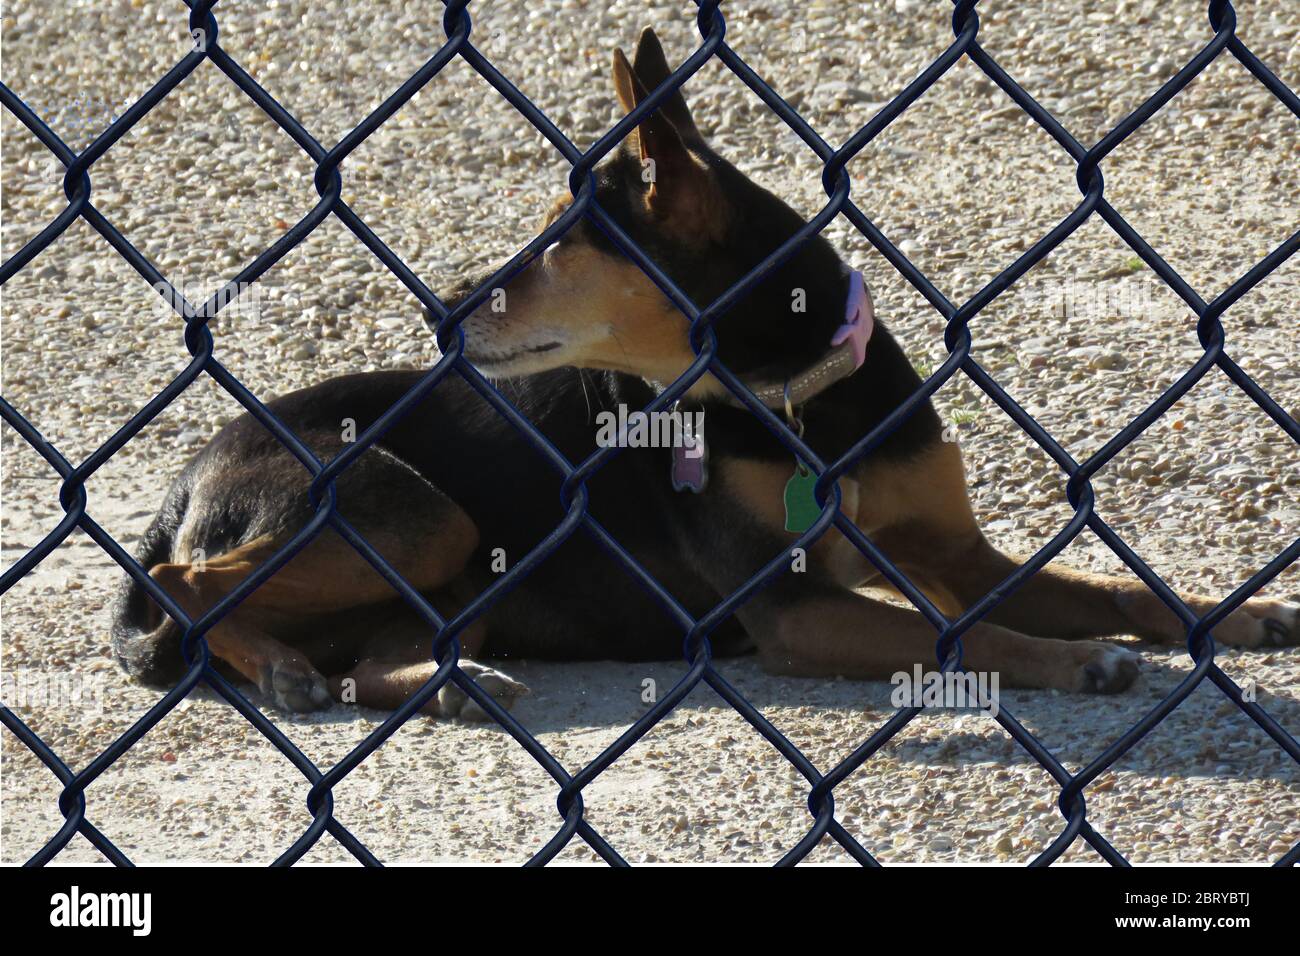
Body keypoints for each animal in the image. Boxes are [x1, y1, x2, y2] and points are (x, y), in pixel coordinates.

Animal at [109, 27, 1289, 717]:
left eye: (562, 244)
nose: (444, 307)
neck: (798, 400)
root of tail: (188, 474)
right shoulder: (793, 606)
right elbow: (957, 633)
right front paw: (1074, 663)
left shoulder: (954, 548)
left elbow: (1116, 589)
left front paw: (1237, 616)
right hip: (400, 511)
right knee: (181, 591)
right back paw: (285, 668)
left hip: (458, 572)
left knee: (357, 648)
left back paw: (442, 681)